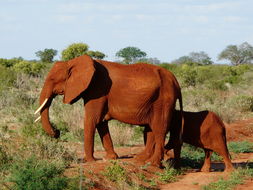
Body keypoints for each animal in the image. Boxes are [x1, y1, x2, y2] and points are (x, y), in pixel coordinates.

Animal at [34, 54, 183, 166]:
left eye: (53, 79)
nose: (57, 132)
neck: (73, 62)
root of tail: (176, 81)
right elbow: (101, 122)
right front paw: (110, 158)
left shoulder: (97, 89)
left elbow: (91, 120)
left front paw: (89, 161)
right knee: (151, 129)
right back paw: (140, 159)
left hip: (163, 99)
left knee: (159, 129)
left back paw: (153, 164)